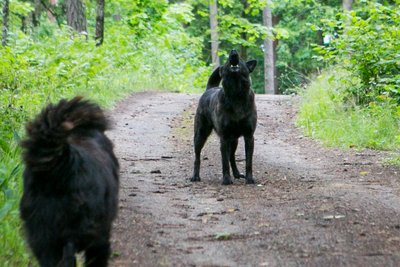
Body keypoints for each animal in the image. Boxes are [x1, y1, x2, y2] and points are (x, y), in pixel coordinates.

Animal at [192, 49, 258, 185]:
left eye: (241, 58)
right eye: (228, 59)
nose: (233, 52)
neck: (236, 95)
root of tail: (210, 88)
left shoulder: (249, 137)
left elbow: (248, 161)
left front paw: (249, 179)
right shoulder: (224, 137)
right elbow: (224, 162)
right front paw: (226, 179)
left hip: (234, 140)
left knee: (231, 156)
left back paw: (237, 173)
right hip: (200, 135)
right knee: (197, 157)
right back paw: (195, 176)